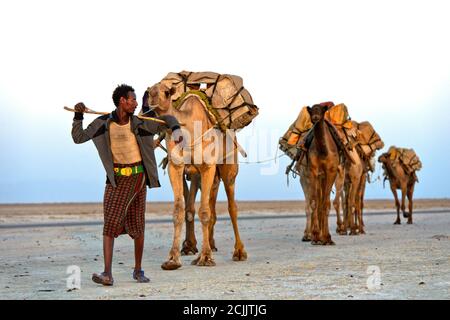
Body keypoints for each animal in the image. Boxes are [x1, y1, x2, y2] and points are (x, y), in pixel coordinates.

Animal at [148, 82, 246, 270]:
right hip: (199, 176)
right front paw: (172, 259)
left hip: (228, 168)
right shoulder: (176, 167)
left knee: (232, 207)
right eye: (149, 92)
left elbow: (205, 211)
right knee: (200, 205)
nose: (152, 99)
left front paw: (206, 257)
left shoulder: (207, 167)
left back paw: (239, 252)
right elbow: (179, 210)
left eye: (166, 92)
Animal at [296, 104, 342, 244]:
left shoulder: (331, 172)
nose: (315, 118)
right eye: (311, 111)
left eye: (322, 110)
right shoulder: (312, 172)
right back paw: (309, 235)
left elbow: (325, 203)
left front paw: (327, 238)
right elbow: (314, 203)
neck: (323, 152)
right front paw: (315, 236)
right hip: (306, 177)